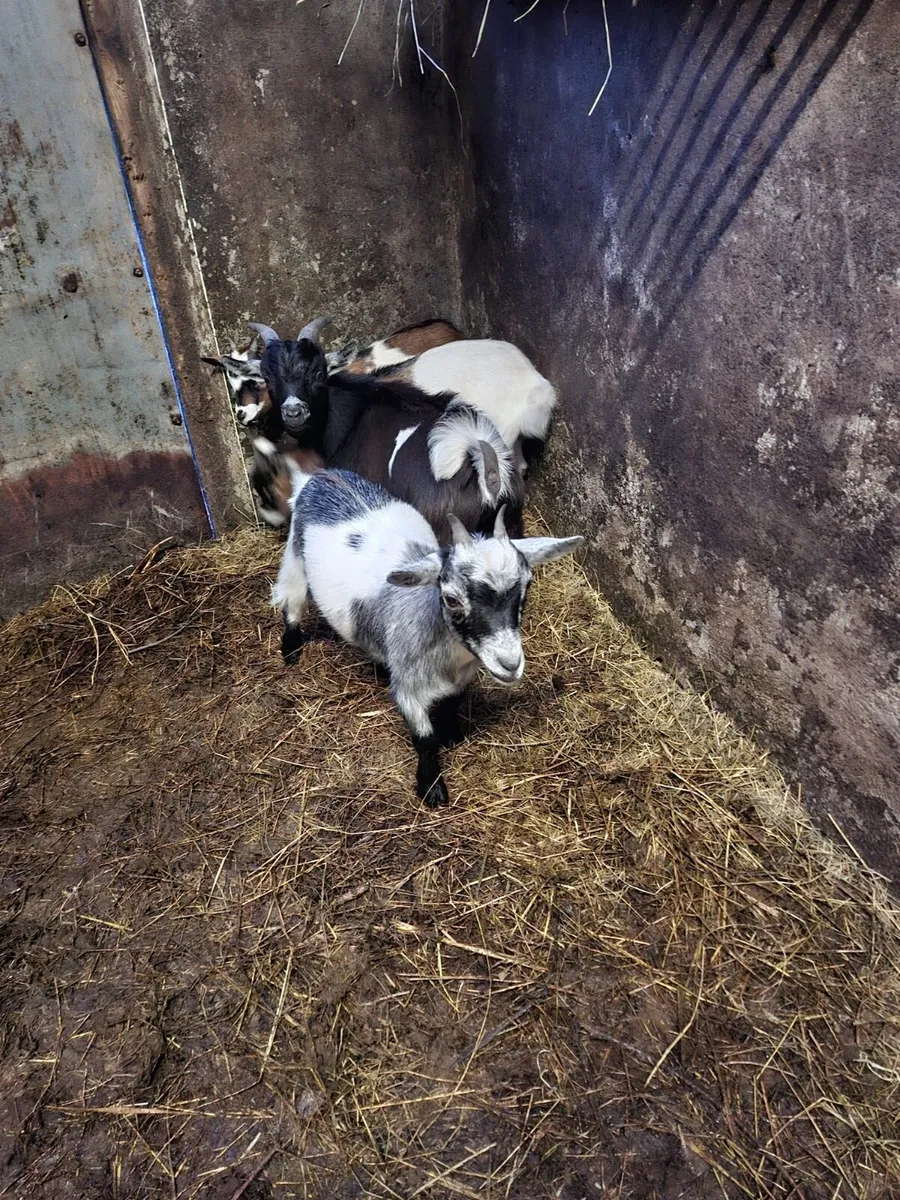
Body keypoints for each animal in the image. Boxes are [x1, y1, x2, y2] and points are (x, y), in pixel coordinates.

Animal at [273, 465, 583, 805]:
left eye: (527, 586)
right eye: (451, 598)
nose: (510, 663)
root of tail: (320, 475)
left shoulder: (461, 678)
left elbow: (451, 705)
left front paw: (451, 734)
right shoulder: (408, 691)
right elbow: (424, 739)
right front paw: (432, 788)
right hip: (295, 555)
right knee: (291, 598)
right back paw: (291, 649)